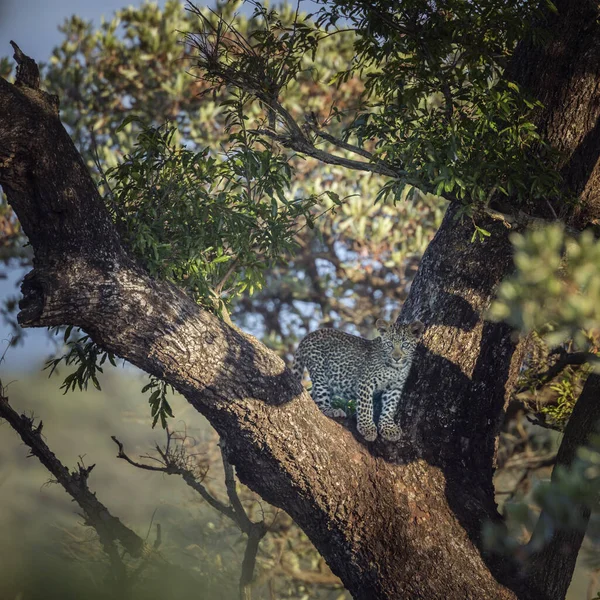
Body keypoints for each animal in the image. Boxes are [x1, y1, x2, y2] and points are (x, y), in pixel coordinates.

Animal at [290, 318, 422, 440]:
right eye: (390, 344)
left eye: (405, 345)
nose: (396, 358)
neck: (395, 368)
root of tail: (307, 336)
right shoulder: (366, 381)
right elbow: (366, 406)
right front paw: (367, 428)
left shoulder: (395, 386)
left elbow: (390, 406)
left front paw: (389, 428)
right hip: (319, 372)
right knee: (319, 400)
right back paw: (332, 410)